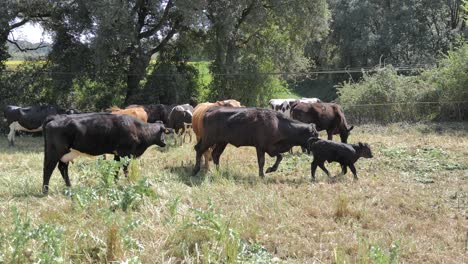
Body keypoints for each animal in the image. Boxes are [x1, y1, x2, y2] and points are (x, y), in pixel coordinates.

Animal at [42, 113, 170, 194]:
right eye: (163, 132)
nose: (164, 143)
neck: (138, 128)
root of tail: (55, 117)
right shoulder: (125, 153)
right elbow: (125, 169)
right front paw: (128, 182)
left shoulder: (118, 154)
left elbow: (116, 168)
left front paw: (115, 182)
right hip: (55, 151)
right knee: (48, 168)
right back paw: (45, 191)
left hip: (66, 154)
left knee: (62, 168)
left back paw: (69, 187)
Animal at [192, 106, 320, 177]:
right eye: (314, 135)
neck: (278, 124)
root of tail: (209, 110)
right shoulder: (261, 147)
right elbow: (262, 162)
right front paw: (262, 174)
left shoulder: (270, 148)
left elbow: (279, 157)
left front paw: (270, 170)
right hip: (209, 139)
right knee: (199, 149)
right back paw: (195, 170)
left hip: (222, 142)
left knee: (215, 154)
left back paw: (219, 172)